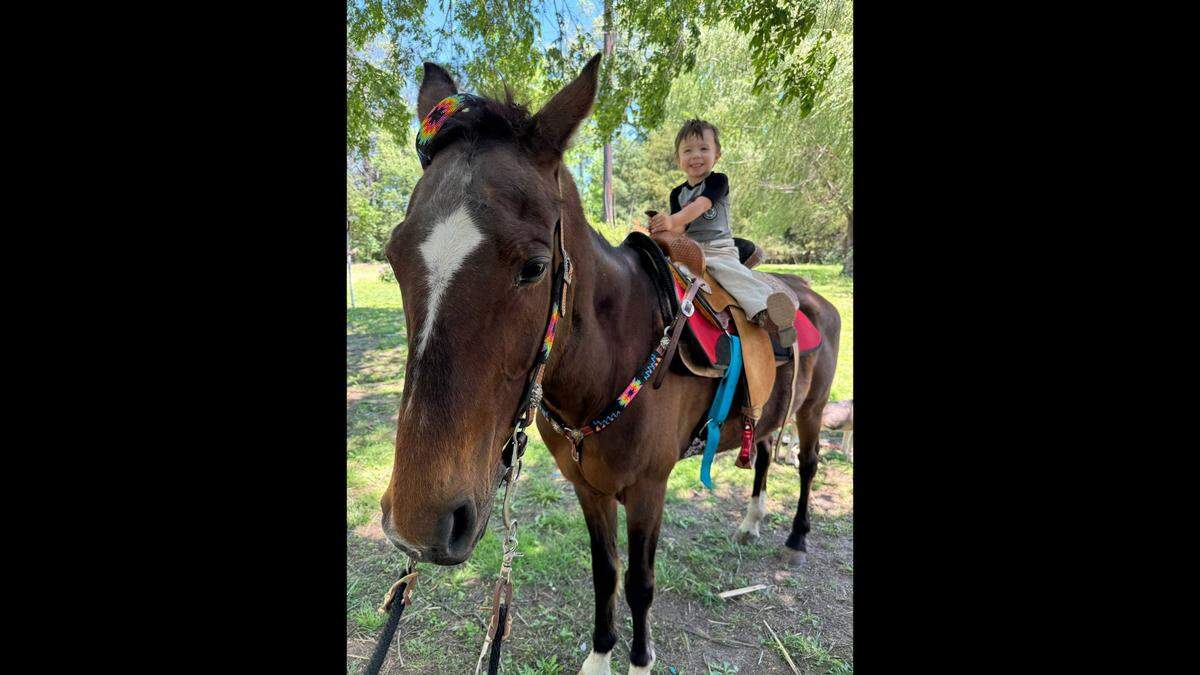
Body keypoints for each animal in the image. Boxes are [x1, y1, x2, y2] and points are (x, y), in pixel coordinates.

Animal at [378, 53, 841, 675]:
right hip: (770, 413)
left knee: (809, 465)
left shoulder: (648, 488)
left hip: (812, 411)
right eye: (394, 258)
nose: (417, 523)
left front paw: (639, 661)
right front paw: (600, 656)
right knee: (765, 452)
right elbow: (605, 575)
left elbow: (641, 583)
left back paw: (794, 539)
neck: (611, 358)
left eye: (534, 267)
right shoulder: (589, 488)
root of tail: (809, 295)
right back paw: (750, 522)